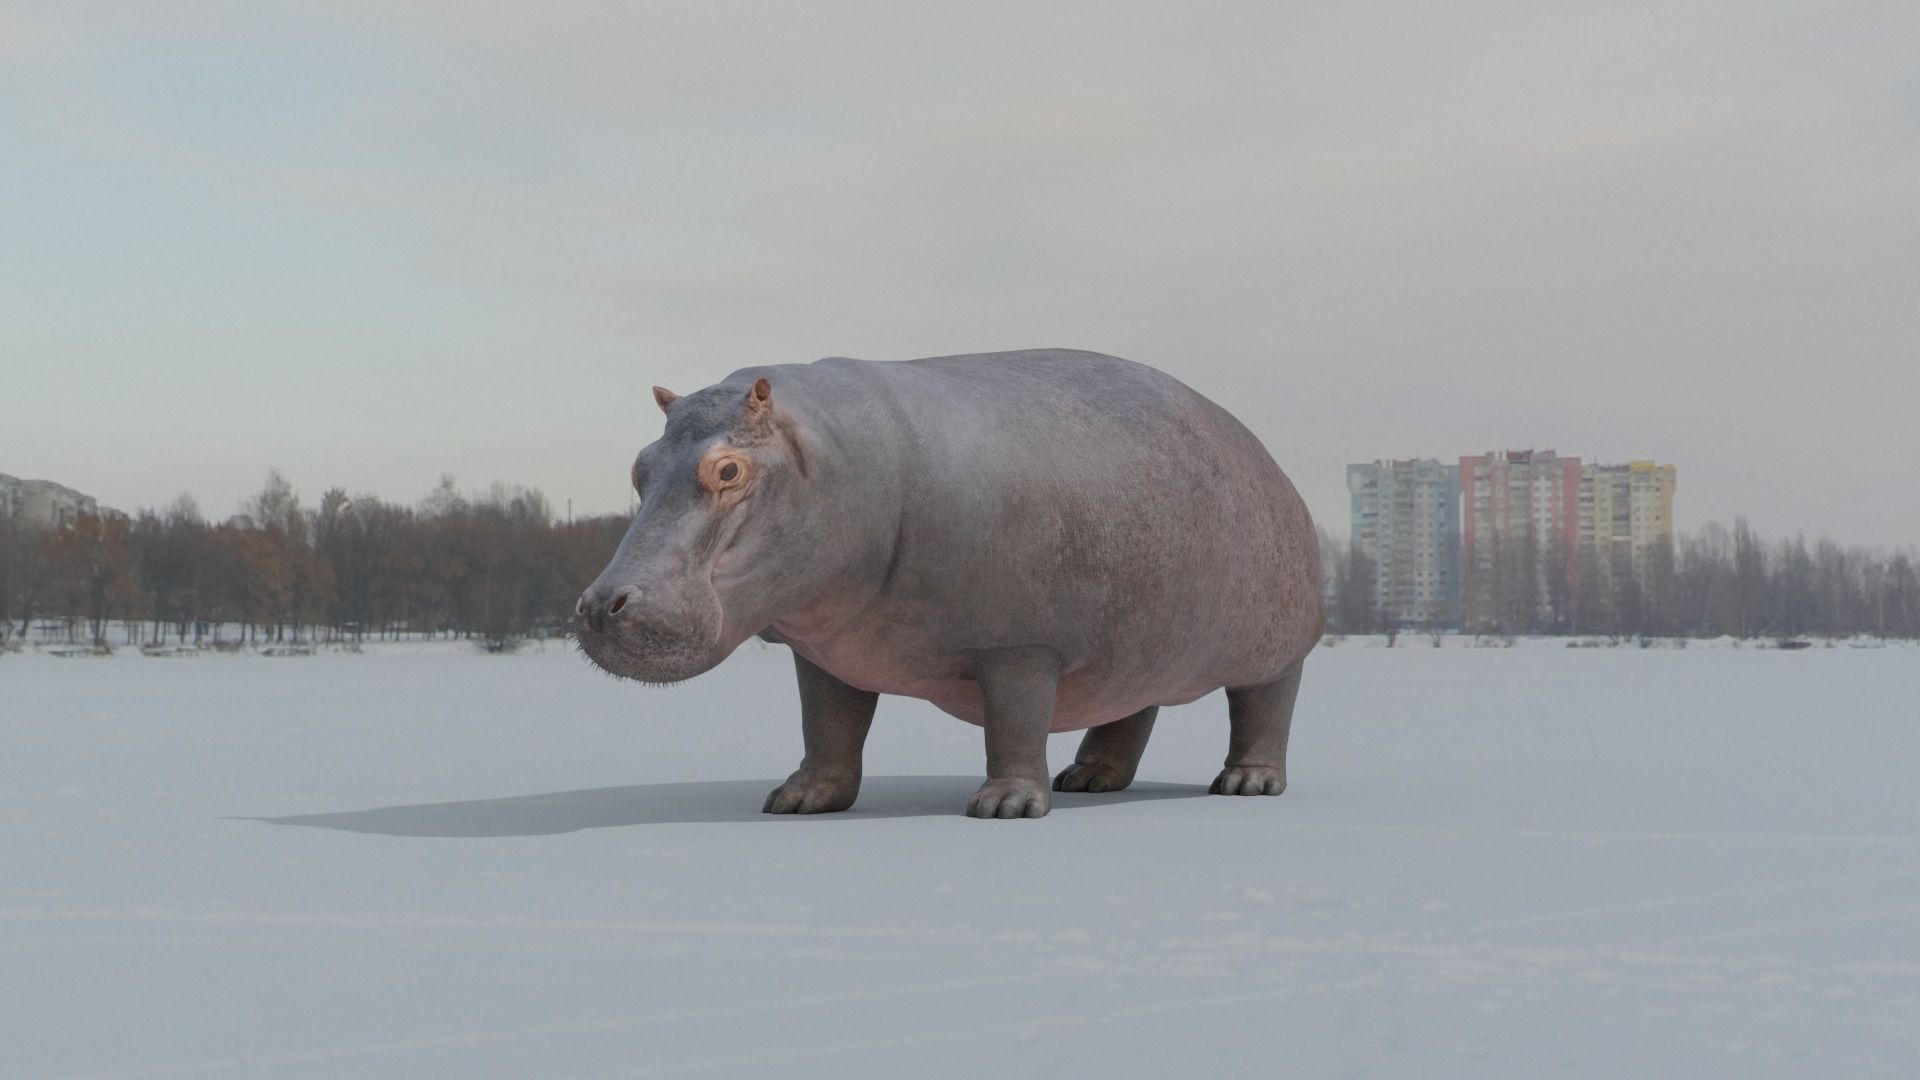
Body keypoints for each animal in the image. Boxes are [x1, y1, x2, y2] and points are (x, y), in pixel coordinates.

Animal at [575, 348, 1322, 819]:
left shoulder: (1022, 646)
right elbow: (828, 725)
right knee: (1130, 709)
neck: (836, 457)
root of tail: (1265, 454)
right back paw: (1087, 780)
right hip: (1133, 642)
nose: (600, 607)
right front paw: (800, 799)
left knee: (1265, 707)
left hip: (1273, 645)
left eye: (728, 470)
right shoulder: (825, 652)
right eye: (640, 465)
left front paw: (1005, 806)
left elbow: (1013, 724)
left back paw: (1246, 783)